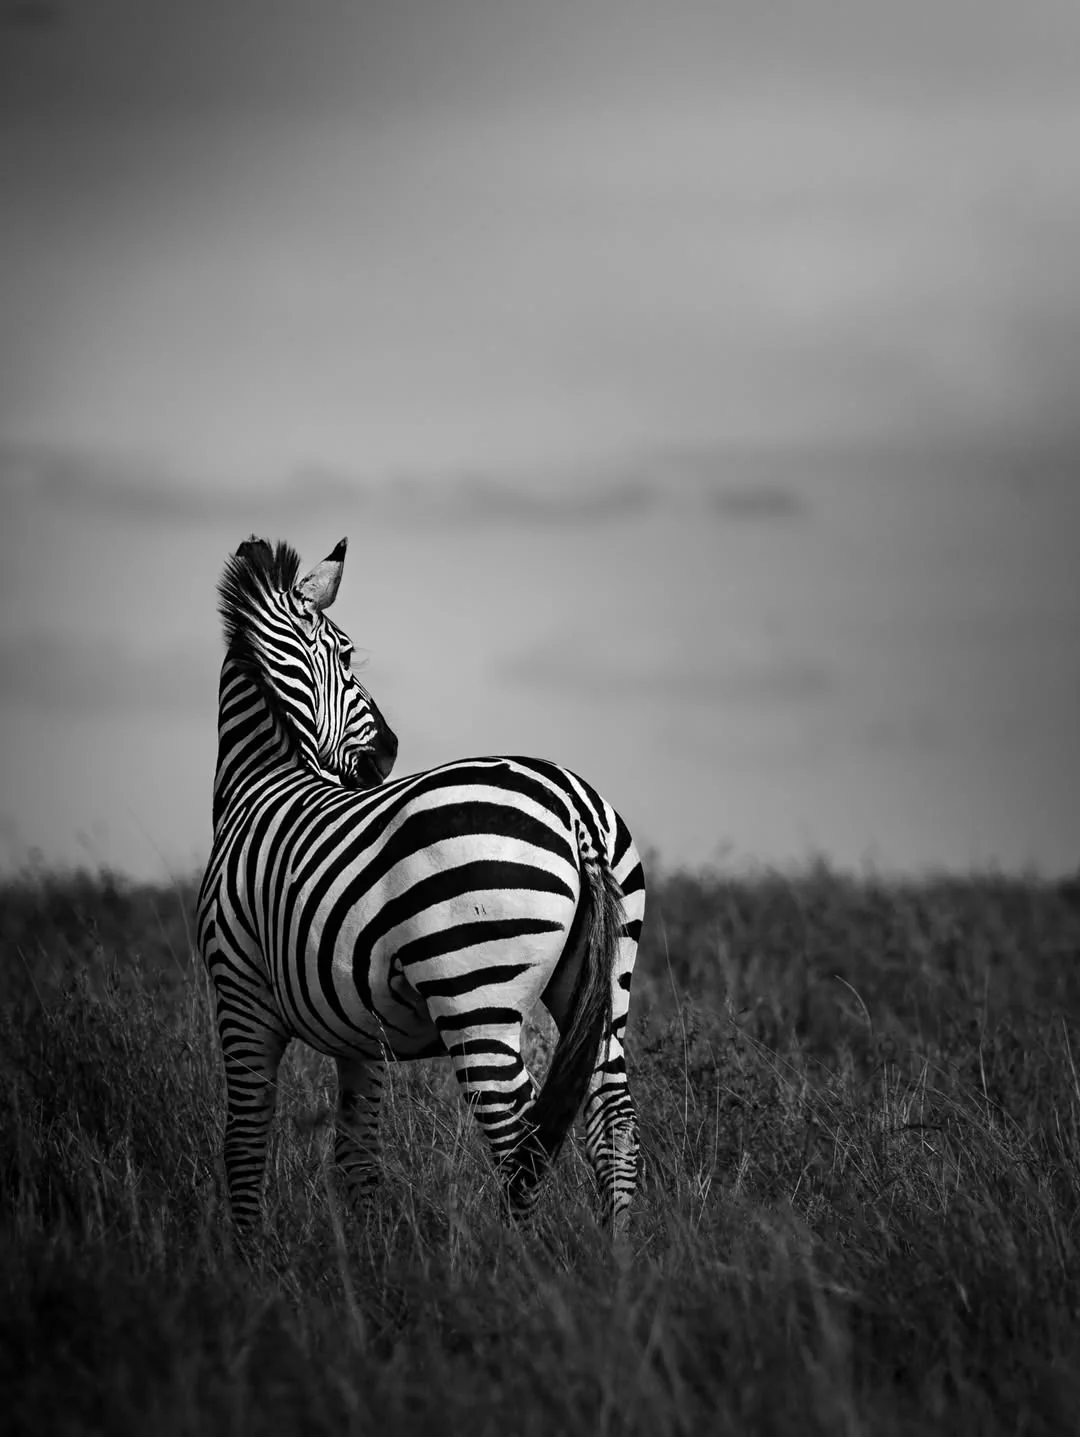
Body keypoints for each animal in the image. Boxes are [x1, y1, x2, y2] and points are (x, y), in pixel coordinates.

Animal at [196, 535, 644, 1237]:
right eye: (347, 653)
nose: (388, 753)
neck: (259, 784)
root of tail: (573, 807)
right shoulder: (359, 1032)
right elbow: (357, 1155)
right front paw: (367, 1252)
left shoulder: (239, 992)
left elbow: (243, 1141)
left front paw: (249, 1251)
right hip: (605, 982)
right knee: (613, 1118)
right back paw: (619, 1250)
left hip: (475, 991)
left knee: (522, 1138)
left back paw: (519, 1259)